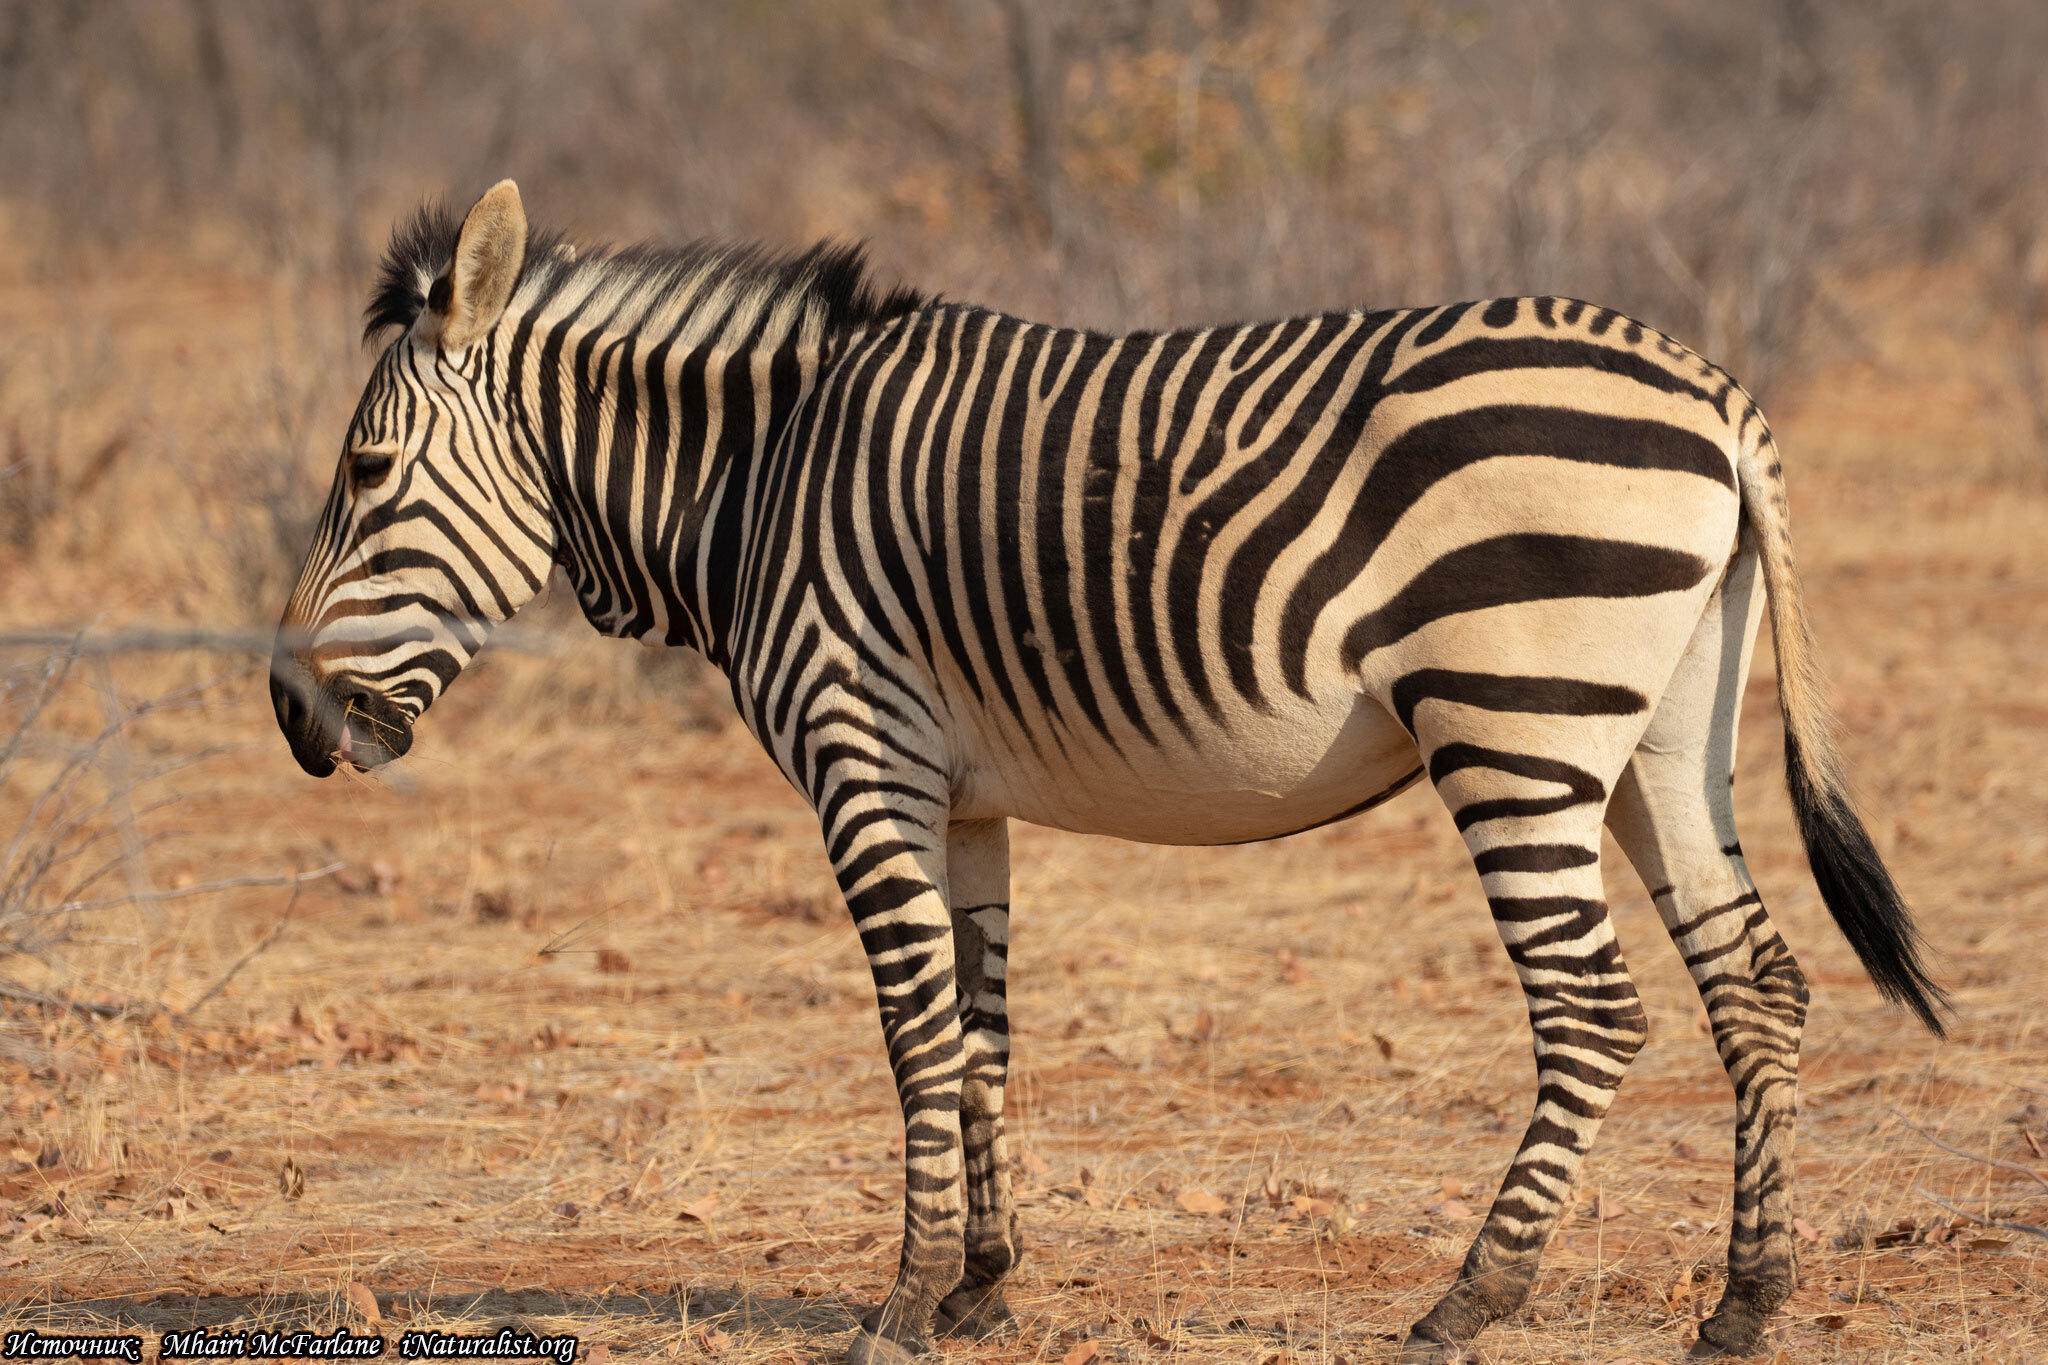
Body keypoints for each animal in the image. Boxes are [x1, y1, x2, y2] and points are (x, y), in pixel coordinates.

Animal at [276, 181, 1949, 1365]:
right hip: (1663, 731)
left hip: (1515, 718)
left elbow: (914, 1034)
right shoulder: (961, 793)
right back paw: (1746, 1301)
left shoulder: (861, 756)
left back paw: (1472, 1300)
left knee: (1597, 1010)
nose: (290, 714)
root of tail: (1713, 395)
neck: (756, 478)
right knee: (1759, 984)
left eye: (363, 474)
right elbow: (984, 1032)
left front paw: (898, 1307)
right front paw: (982, 1288)